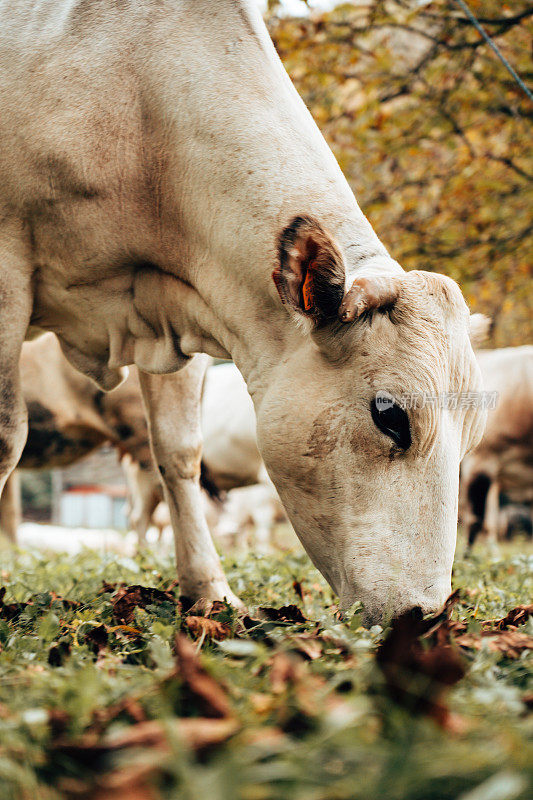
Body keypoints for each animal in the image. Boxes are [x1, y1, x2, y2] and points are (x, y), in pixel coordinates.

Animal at [0, 0, 484, 624]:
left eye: (472, 434)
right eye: (390, 415)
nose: (423, 615)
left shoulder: (173, 305)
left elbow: (179, 450)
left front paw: (210, 590)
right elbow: (6, 434)